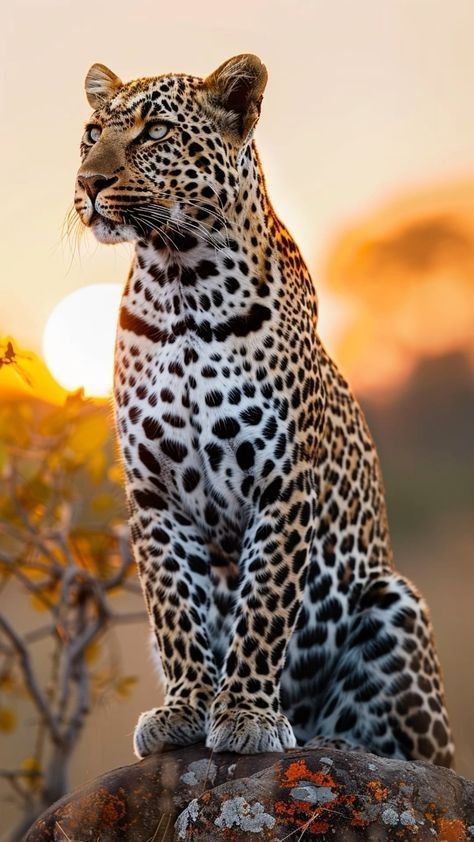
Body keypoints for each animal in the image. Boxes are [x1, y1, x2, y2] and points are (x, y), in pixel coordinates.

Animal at [75, 50, 456, 760]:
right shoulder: (153, 492)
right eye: (91, 134)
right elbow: (175, 609)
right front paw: (184, 709)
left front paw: (248, 715)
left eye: (153, 132)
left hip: (396, 606)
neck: (182, 286)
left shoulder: (281, 483)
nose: (87, 182)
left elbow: (264, 604)